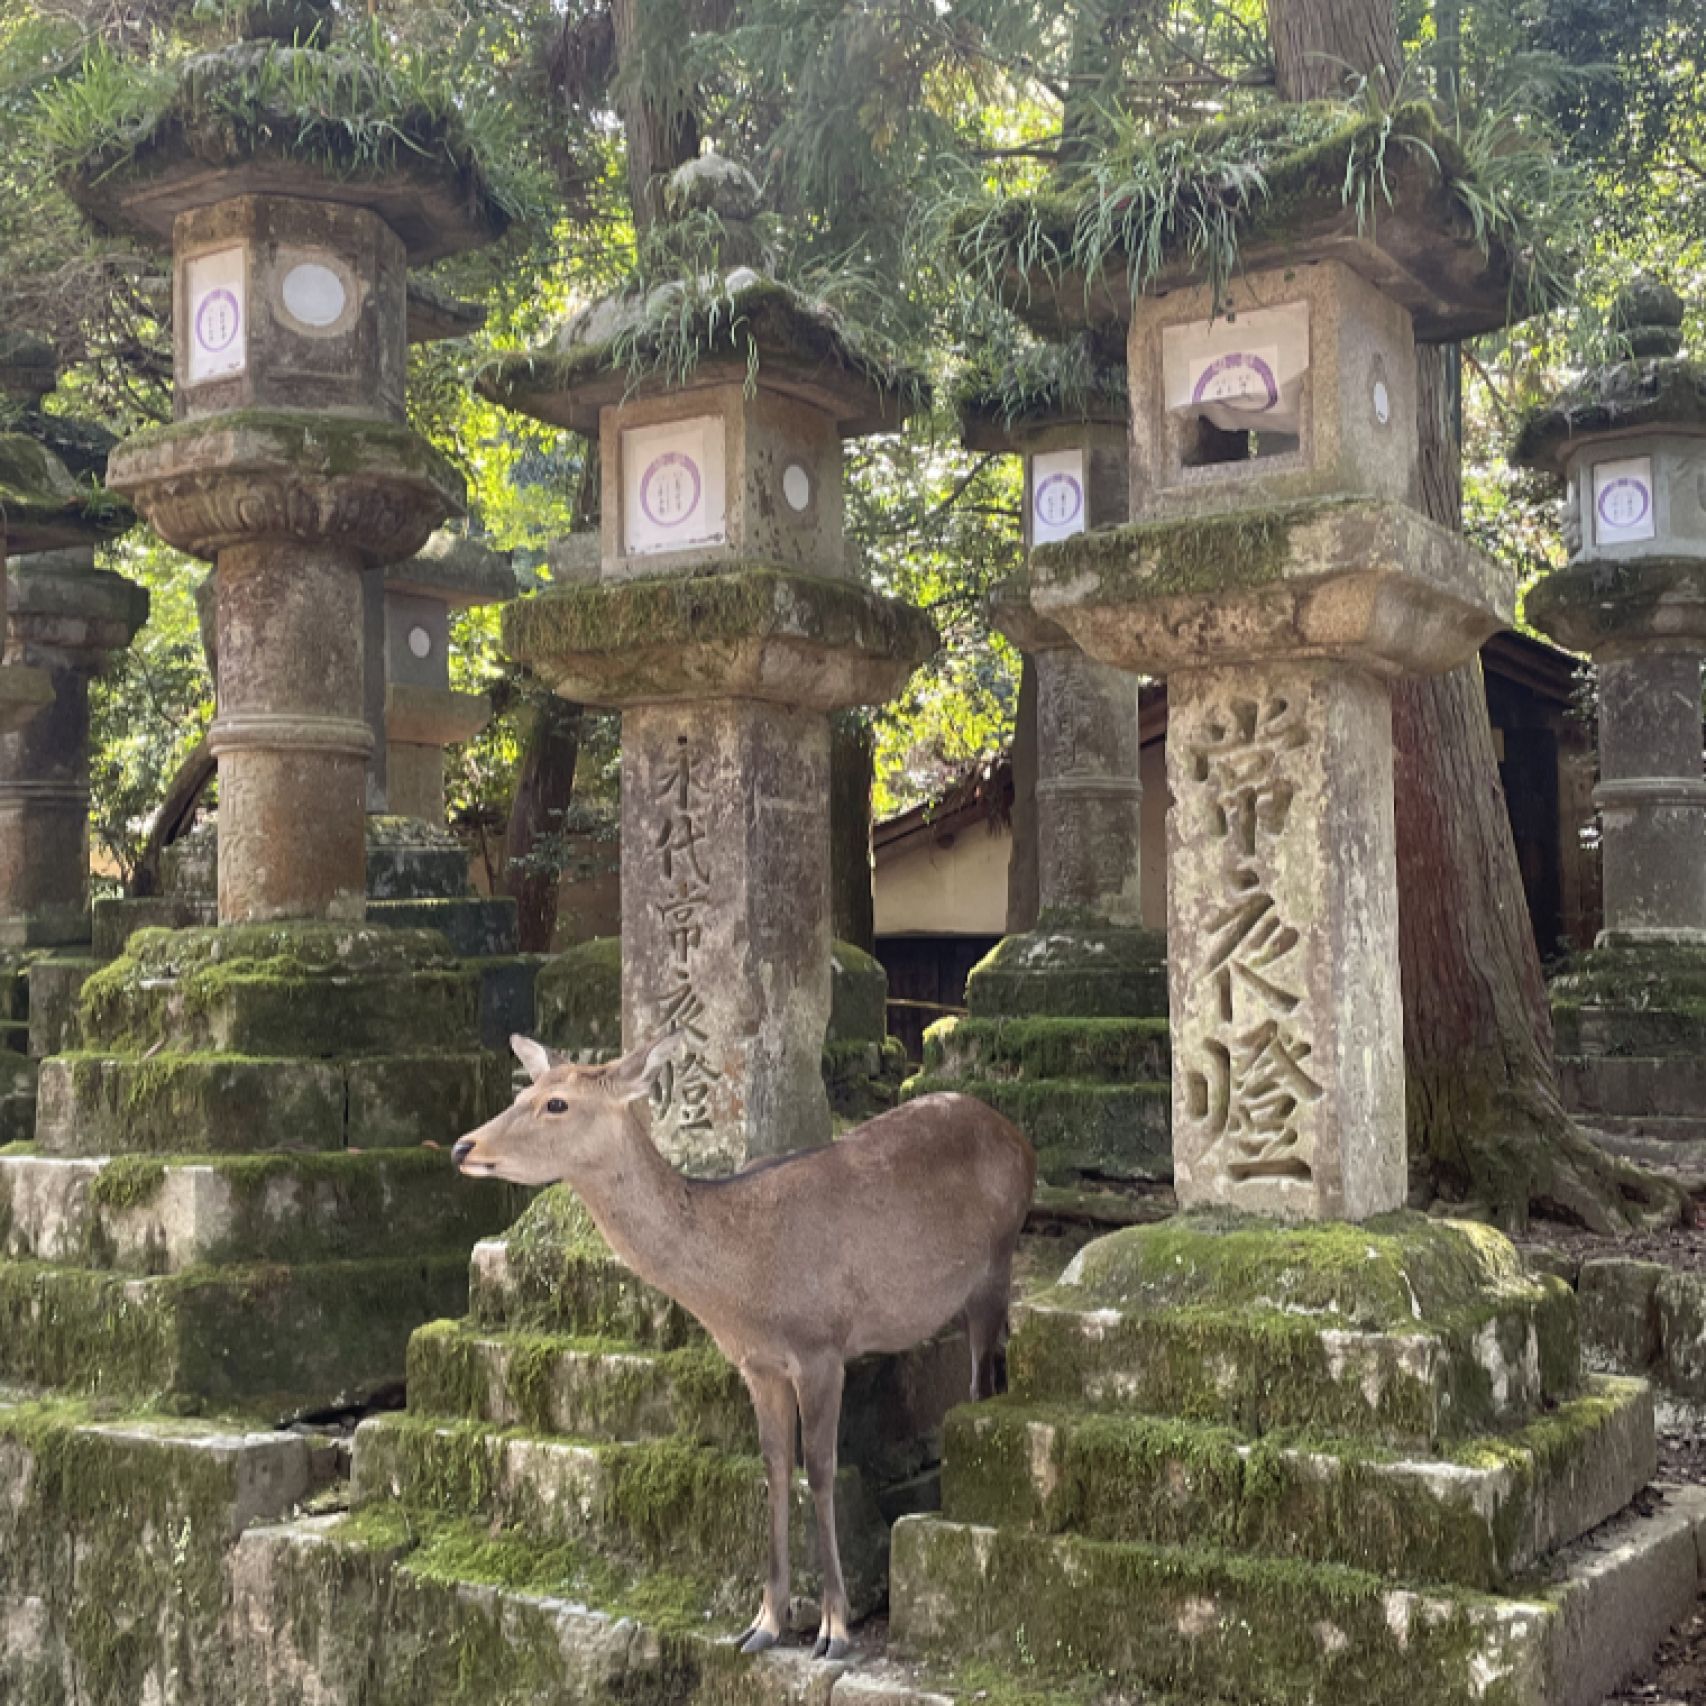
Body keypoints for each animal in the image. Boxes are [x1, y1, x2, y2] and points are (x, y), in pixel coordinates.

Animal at [453, 1030, 1030, 1658]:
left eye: (556, 1103)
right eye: (523, 1090)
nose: (462, 1145)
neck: (740, 1290)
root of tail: (1017, 1136)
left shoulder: (821, 1346)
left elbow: (820, 1469)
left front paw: (834, 1628)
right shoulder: (758, 1363)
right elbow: (774, 1468)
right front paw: (764, 1623)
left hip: (997, 1265)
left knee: (981, 1380)